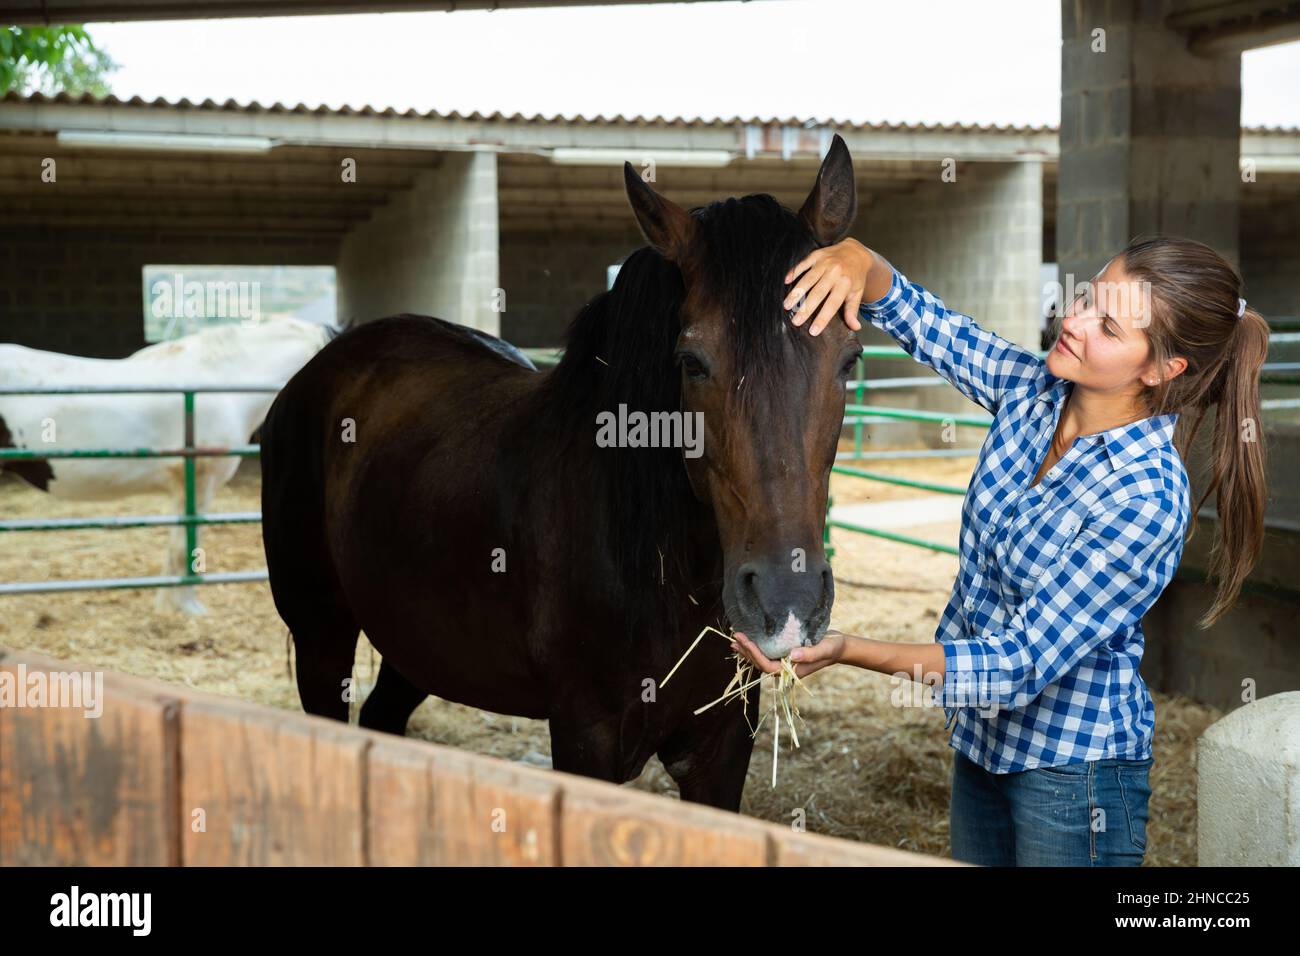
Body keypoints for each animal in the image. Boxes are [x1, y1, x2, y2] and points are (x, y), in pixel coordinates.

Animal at [259, 135, 863, 809]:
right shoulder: (584, 740)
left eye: (849, 359)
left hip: (416, 641)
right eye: (691, 362)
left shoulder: (723, 749)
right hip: (321, 633)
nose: (789, 603)